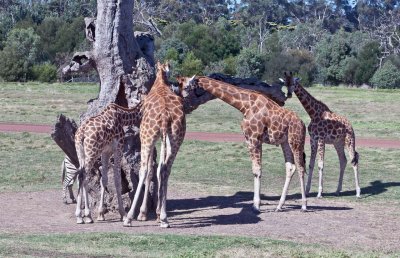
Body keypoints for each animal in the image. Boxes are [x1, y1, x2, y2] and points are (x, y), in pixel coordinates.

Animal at [124, 61, 187, 227]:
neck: (160, 82)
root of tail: (165, 116)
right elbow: (158, 169)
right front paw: (156, 212)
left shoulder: (151, 138)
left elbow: (150, 170)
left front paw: (142, 213)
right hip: (176, 137)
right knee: (166, 168)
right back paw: (163, 217)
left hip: (146, 135)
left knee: (144, 169)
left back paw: (129, 218)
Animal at [179, 75, 310, 213]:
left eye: (186, 86)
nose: (183, 99)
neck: (244, 105)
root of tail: (302, 124)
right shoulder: (249, 139)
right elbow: (255, 169)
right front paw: (256, 204)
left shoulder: (254, 138)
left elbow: (257, 170)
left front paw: (256, 206)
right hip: (285, 142)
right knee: (290, 167)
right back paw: (279, 206)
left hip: (296, 141)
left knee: (301, 168)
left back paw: (304, 205)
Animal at [282, 71, 362, 199]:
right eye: (286, 83)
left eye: (294, 83)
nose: (289, 94)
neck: (313, 114)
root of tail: (351, 126)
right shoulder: (313, 139)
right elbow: (311, 164)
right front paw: (307, 190)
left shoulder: (321, 139)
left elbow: (320, 164)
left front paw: (319, 193)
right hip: (338, 143)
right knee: (343, 160)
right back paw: (338, 190)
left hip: (349, 140)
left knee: (354, 160)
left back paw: (358, 192)